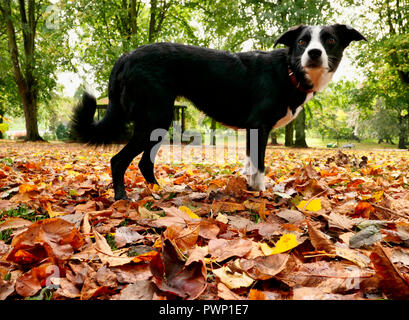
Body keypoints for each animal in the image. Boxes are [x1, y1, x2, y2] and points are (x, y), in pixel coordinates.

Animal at [71, 23, 366, 199]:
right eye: (303, 41)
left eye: (329, 40)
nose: (314, 53)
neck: (289, 69)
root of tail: (125, 57)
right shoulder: (259, 126)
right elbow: (259, 165)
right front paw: (261, 194)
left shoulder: (252, 131)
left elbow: (250, 165)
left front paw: (250, 188)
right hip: (156, 118)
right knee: (118, 160)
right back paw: (122, 199)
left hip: (157, 123)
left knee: (144, 163)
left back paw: (159, 191)